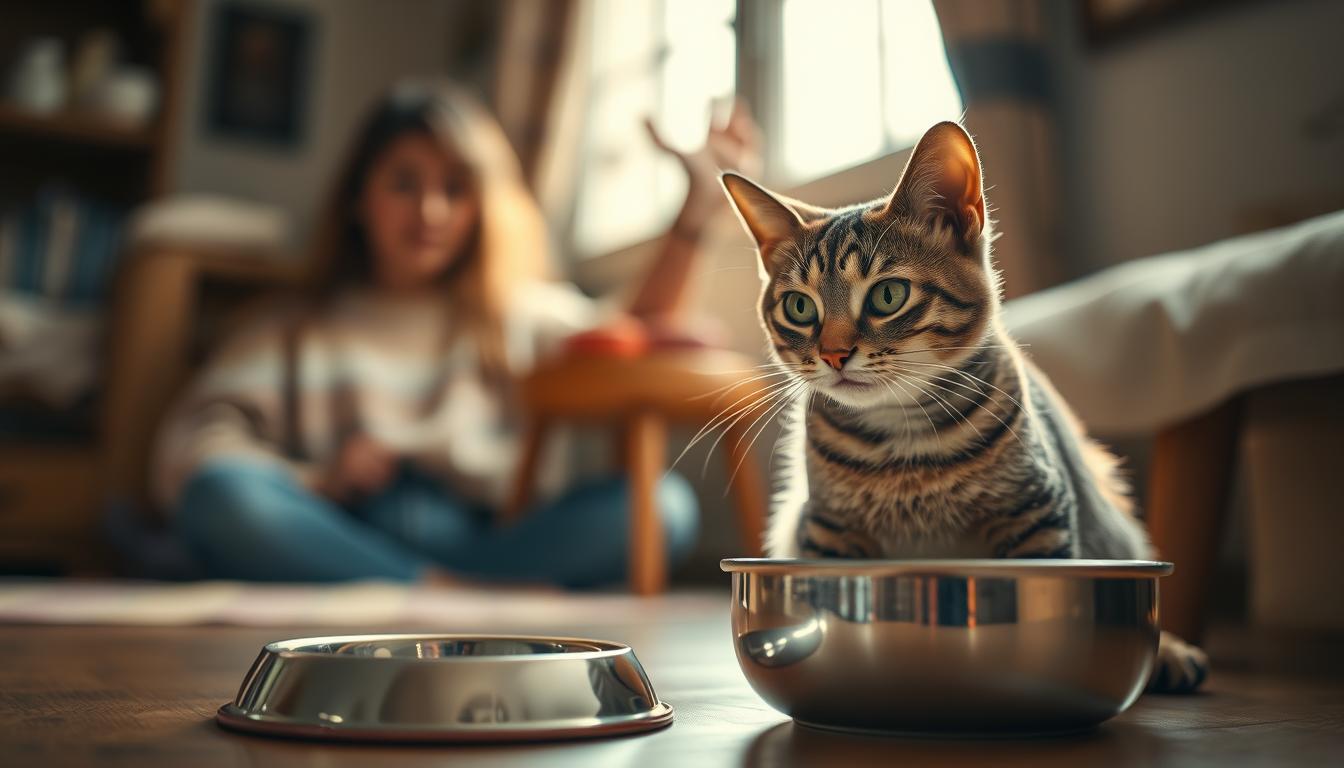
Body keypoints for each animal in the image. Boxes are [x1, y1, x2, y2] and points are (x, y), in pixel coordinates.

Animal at [725, 123, 1209, 694]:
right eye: (799, 307)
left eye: (888, 295)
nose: (833, 354)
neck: (902, 443)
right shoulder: (826, 534)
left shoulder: (1037, 515)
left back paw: (1172, 652)